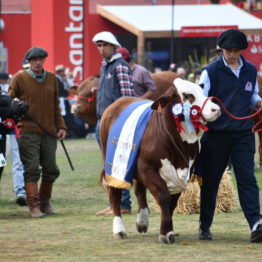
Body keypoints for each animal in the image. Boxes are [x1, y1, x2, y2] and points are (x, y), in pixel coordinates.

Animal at [99, 78, 220, 244]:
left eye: (202, 92)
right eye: (187, 95)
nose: (215, 108)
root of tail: (119, 101)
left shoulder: (186, 172)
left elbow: (172, 201)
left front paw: (166, 230)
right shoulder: (146, 168)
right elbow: (163, 196)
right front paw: (166, 232)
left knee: (139, 190)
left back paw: (142, 221)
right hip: (112, 165)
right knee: (115, 193)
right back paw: (119, 229)